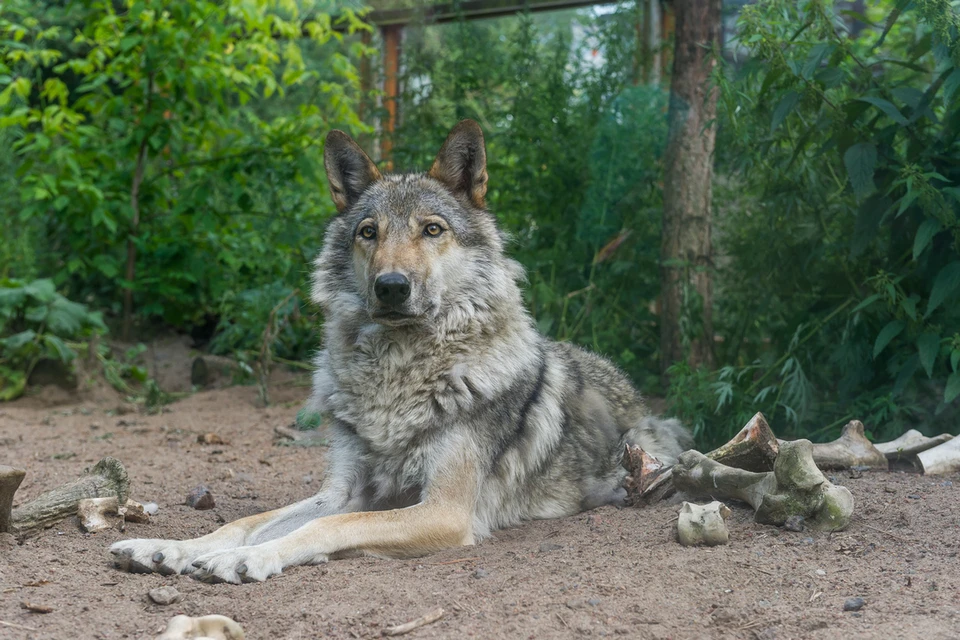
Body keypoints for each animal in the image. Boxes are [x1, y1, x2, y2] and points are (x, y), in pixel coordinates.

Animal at [110, 117, 688, 584]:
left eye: (432, 229)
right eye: (369, 232)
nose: (390, 286)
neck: (397, 376)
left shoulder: (443, 511)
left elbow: (328, 527)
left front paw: (244, 559)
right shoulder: (342, 489)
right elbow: (247, 521)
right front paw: (171, 547)